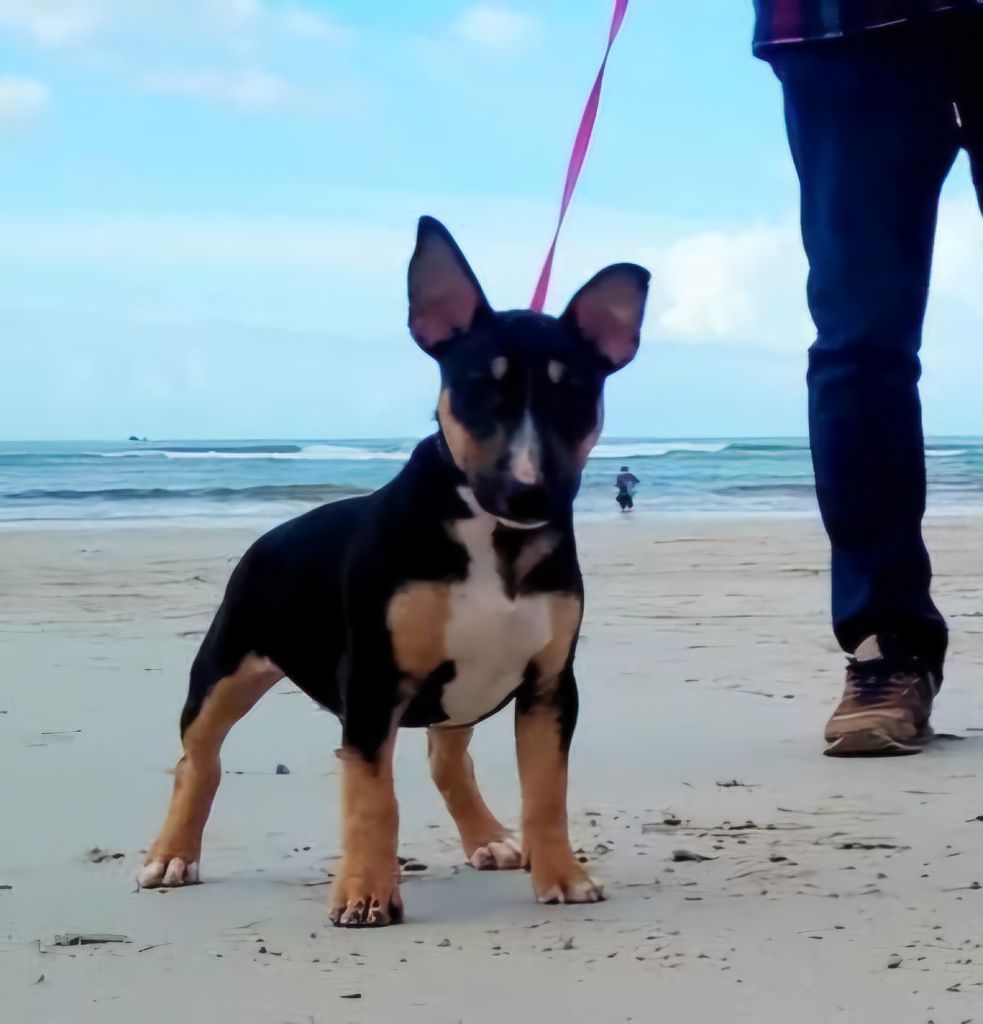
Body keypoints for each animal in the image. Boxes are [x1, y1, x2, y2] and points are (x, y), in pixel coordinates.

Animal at [138, 218, 647, 929]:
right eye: (477, 391)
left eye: (574, 395)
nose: (529, 494)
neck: (492, 537)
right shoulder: (374, 682)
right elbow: (372, 796)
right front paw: (365, 893)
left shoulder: (550, 686)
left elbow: (547, 790)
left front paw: (564, 877)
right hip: (224, 669)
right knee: (199, 761)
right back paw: (172, 856)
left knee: (446, 757)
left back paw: (488, 838)